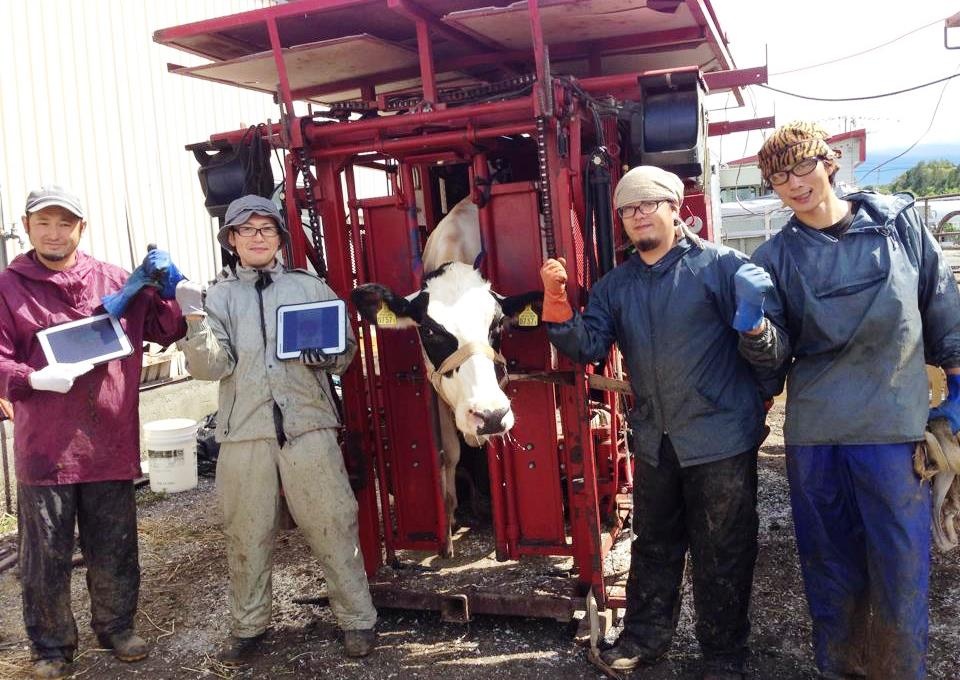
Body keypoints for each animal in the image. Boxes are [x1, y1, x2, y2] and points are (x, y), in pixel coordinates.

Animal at [350, 198, 540, 556]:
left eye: (497, 325)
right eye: (429, 331)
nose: (490, 415)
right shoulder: (435, 389)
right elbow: (449, 452)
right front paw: (450, 513)